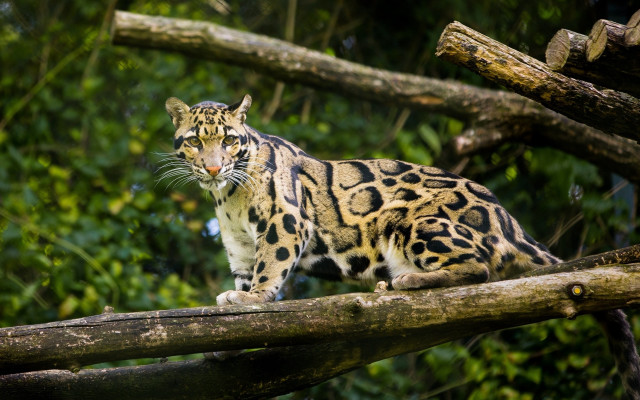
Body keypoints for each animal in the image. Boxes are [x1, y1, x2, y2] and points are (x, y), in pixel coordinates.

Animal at [164, 94, 640, 397]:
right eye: (195, 140)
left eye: (229, 140)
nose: (213, 167)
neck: (227, 195)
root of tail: (510, 221)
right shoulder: (239, 246)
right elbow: (243, 293)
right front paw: (229, 334)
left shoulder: (285, 220)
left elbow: (270, 270)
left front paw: (256, 299)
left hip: (412, 221)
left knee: (479, 268)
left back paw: (406, 282)